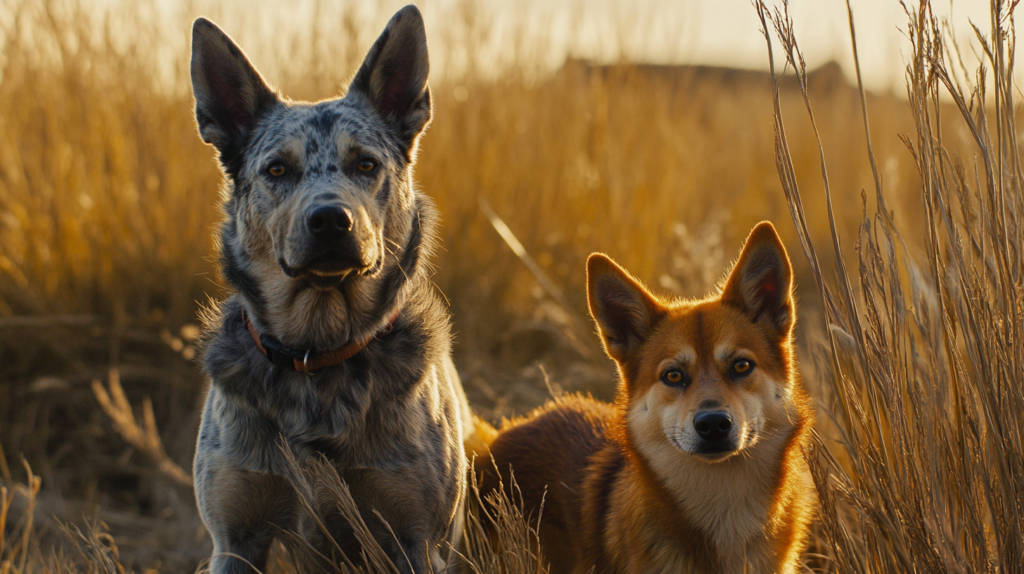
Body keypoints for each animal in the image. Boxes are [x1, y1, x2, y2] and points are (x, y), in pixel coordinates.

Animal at [190, 6, 468, 568]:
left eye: (366, 164)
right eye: (277, 169)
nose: (330, 220)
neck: (317, 354)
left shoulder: (416, 537)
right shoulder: (234, 538)